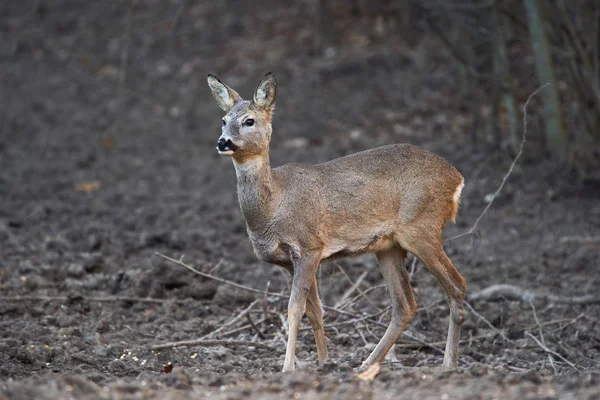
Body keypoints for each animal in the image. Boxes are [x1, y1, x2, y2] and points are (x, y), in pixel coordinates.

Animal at [209, 71, 466, 372]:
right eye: (223, 120)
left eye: (249, 120)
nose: (223, 141)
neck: (274, 206)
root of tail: (457, 178)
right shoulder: (290, 261)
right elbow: (314, 311)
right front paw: (324, 362)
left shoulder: (309, 246)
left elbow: (294, 309)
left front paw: (288, 368)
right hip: (388, 246)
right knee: (405, 304)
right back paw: (367, 364)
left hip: (421, 227)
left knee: (457, 285)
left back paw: (448, 365)